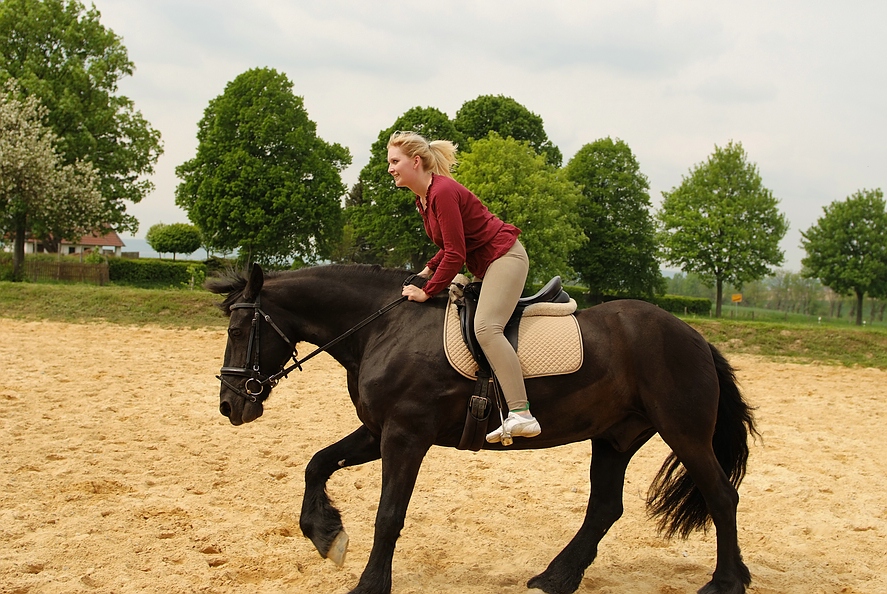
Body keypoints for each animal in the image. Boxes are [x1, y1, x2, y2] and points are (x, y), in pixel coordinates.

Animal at [206, 264, 756, 592]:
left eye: (237, 330)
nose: (230, 405)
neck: (379, 327)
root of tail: (693, 336)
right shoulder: (378, 432)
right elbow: (317, 463)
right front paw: (326, 535)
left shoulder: (405, 437)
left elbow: (389, 515)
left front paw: (370, 582)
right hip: (614, 437)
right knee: (604, 508)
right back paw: (556, 576)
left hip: (683, 433)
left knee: (721, 497)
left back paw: (726, 582)